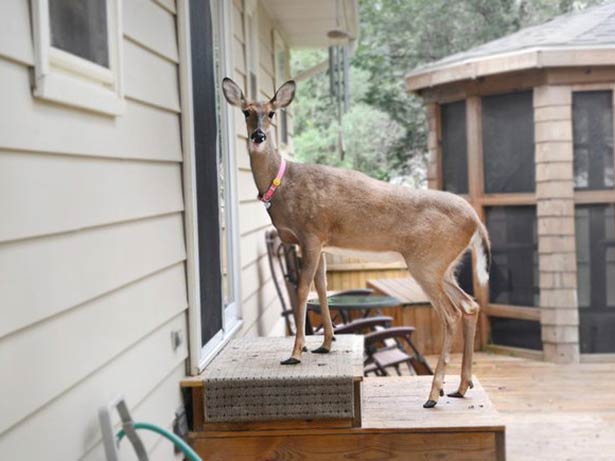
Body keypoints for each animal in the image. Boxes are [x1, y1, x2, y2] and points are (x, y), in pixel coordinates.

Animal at [221, 77, 490, 408]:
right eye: (246, 111)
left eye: (271, 113)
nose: (258, 136)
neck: (282, 185)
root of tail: (476, 221)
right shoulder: (320, 243)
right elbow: (322, 289)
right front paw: (325, 344)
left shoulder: (311, 233)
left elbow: (302, 292)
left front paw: (295, 353)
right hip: (445, 266)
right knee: (470, 305)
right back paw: (461, 386)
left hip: (427, 263)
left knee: (451, 315)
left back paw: (433, 394)